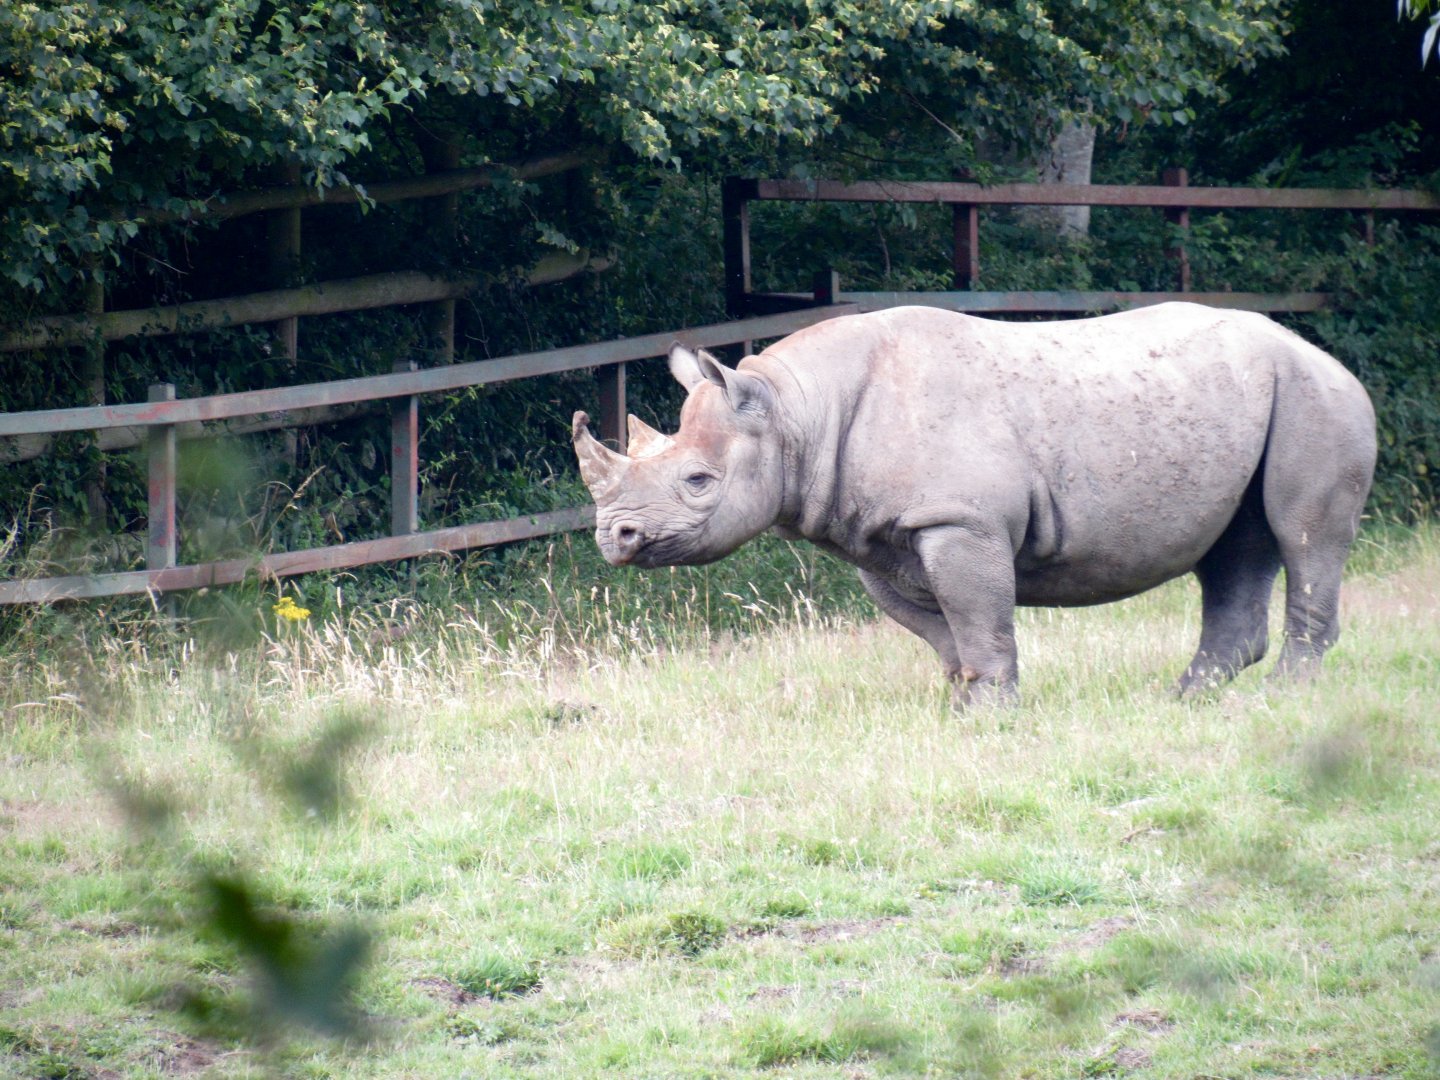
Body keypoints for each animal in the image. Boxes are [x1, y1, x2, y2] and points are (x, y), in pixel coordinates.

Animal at [572, 303, 1376, 706]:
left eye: (698, 482)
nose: (616, 537)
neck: (795, 412)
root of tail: (1327, 354)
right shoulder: (879, 533)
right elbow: (938, 628)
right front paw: (960, 706)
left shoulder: (960, 519)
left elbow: (980, 616)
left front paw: (992, 712)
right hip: (1255, 398)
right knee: (1236, 544)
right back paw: (1183, 701)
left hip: (1317, 399)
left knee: (1303, 535)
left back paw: (1277, 701)